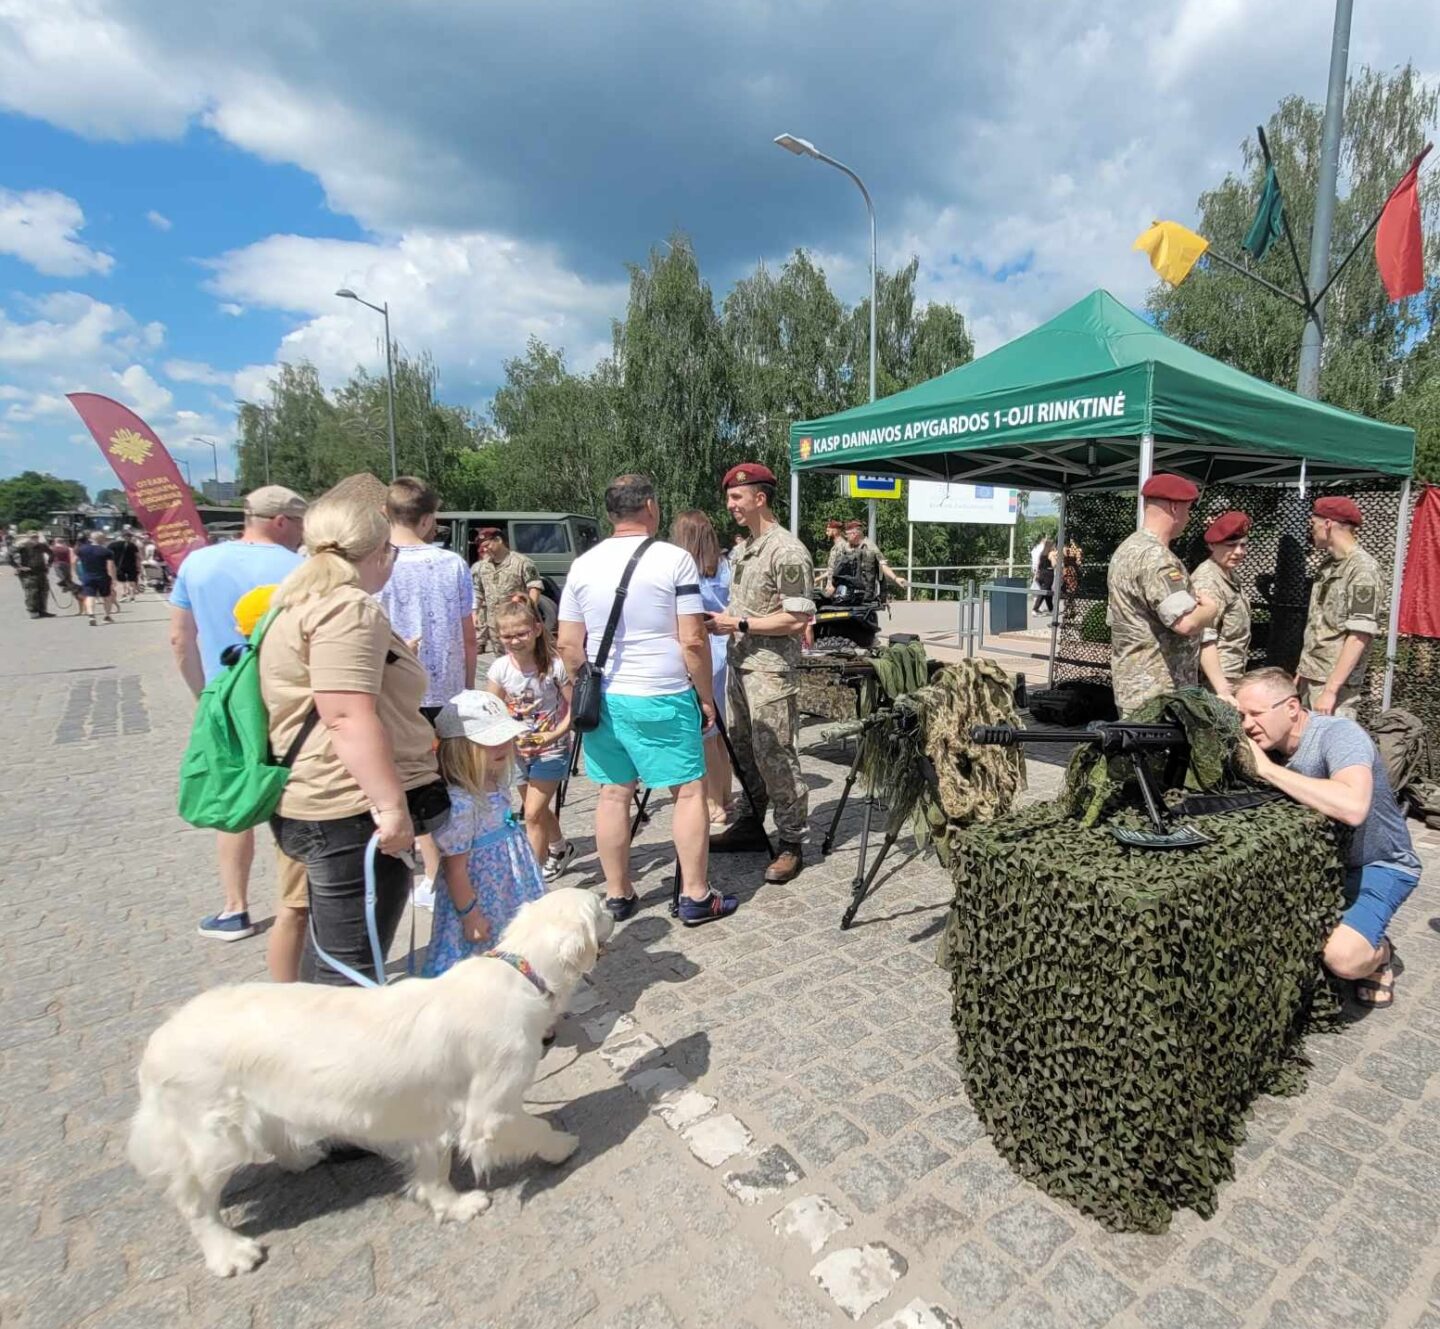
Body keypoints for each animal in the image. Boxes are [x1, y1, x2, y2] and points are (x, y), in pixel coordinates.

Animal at [128, 886, 613, 1272]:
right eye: (596, 908)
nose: (610, 900)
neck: (519, 973)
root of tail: (156, 1044)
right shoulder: (489, 1111)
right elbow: (533, 1128)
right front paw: (561, 1146)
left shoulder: (426, 1112)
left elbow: (433, 1169)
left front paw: (451, 1205)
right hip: (215, 1138)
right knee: (194, 1203)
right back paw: (228, 1252)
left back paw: (302, 1158)